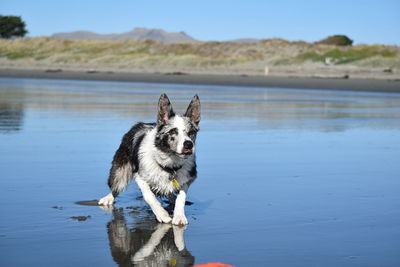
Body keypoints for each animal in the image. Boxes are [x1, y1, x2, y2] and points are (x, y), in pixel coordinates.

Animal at [99, 94, 202, 226]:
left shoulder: (186, 179)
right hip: (120, 173)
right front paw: (162, 214)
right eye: (173, 131)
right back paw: (108, 198)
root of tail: (139, 124)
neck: (170, 163)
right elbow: (149, 196)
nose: (189, 144)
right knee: (116, 187)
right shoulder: (140, 176)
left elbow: (181, 197)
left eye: (192, 132)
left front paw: (179, 215)